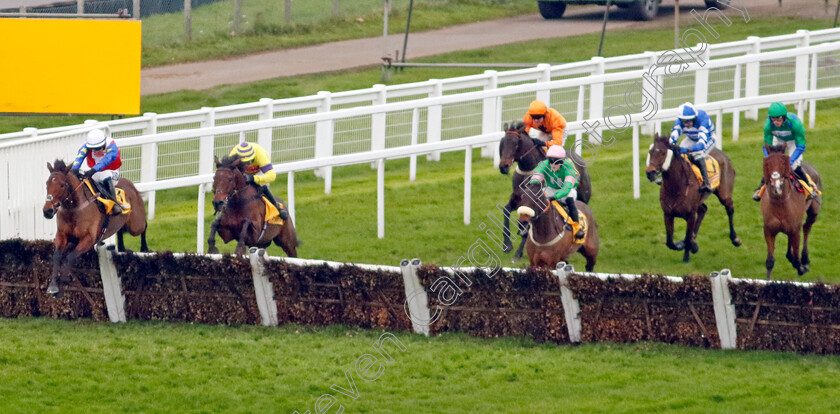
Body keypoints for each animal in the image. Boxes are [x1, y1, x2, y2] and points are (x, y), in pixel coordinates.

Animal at [43, 160, 149, 296]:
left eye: (62, 185)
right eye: (47, 184)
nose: (47, 211)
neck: (75, 209)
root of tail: (131, 185)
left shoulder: (89, 239)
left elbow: (70, 256)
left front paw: (65, 278)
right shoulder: (62, 235)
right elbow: (56, 256)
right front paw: (53, 286)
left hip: (136, 225)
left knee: (144, 226)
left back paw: (144, 248)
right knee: (120, 230)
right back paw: (122, 248)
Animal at [496, 121, 592, 260]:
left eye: (516, 143)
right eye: (502, 143)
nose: (503, 166)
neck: (528, 171)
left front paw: (518, 252)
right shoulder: (517, 199)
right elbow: (506, 211)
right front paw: (507, 245)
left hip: (582, 197)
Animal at [648, 133, 740, 262]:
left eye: (662, 153)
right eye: (650, 152)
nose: (649, 173)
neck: (676, 187)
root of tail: (723, 155)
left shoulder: (690, 215)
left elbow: (687, 237)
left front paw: (687, 255)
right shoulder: (668, 213)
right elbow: (670, 242)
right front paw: (686, 244)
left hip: (724, 194)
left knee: (729, 209)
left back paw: (735, 239)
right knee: (703, 209)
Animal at [760, 144, 820, 280]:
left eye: (783, 163)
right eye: (768, 163)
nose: (776, 186)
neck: (780, 203)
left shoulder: (795, 229)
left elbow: (797, 260)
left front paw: (801, 267)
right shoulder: (769, 230)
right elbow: (770, 261)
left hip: (814, 212)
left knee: (807, 228)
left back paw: (805, 258)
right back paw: (790, 256)